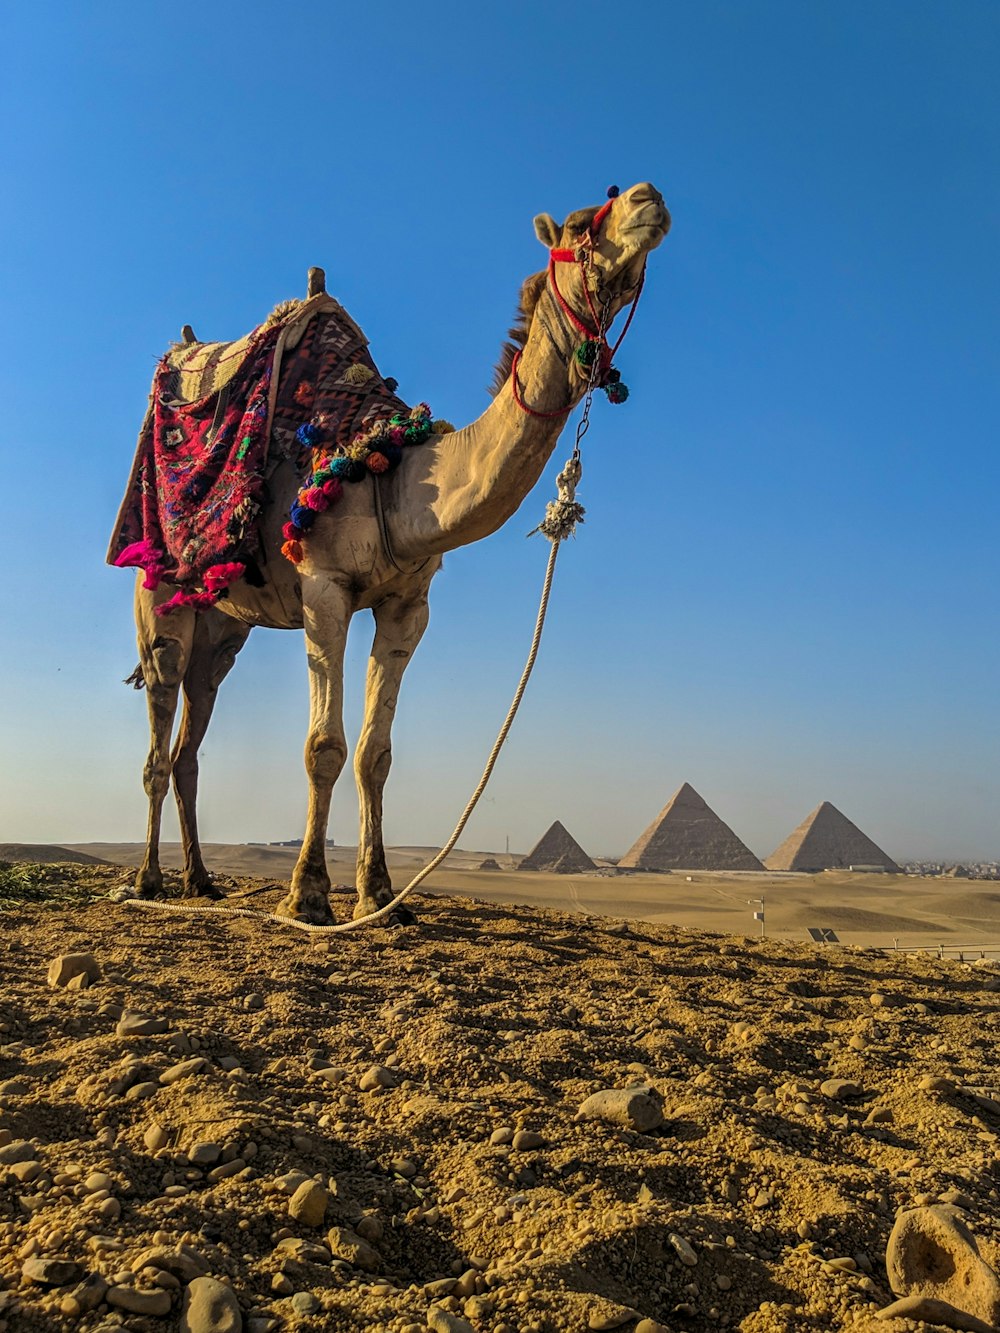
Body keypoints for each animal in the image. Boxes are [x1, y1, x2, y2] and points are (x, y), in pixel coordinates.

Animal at [125, 179, 674, 927]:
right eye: (586, 220)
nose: (650, 198)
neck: (399, 477)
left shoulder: (407, 604)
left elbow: (375, 754)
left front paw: (380, 894)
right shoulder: (324, 588)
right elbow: (324, 747)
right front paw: (308, 894)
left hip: (225, 626)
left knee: (192, 733)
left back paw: (202, 881)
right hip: (161, 598)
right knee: (159, 725)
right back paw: (149, 880)